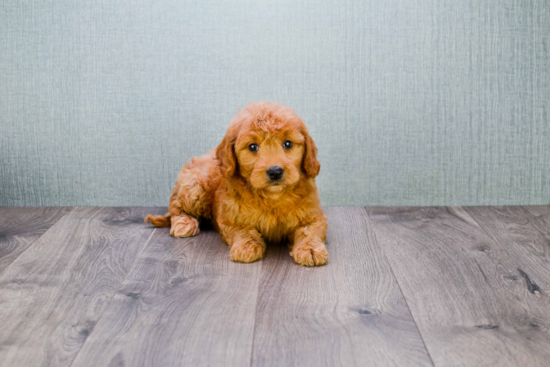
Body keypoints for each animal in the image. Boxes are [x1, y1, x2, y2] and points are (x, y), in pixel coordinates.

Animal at [144, 102, 330, 266]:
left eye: (288, 144)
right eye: (253, 147)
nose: (275, 171)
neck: (272, 197)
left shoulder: (314, 216)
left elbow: (308, 231)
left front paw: (310, 250)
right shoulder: (231, 218)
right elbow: (242, 230)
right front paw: (246, 247)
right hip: (194, 188)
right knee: (176, 206)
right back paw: (184, 223)